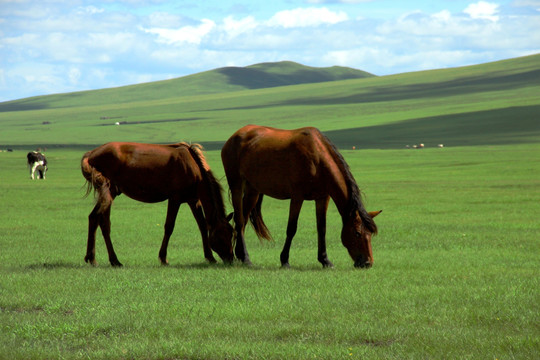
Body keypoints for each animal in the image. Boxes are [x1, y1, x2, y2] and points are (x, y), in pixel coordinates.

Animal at [81, 142, 233, 266]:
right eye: (221, 236)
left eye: (232, 233)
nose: (230, 258)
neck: (192, 166)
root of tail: (91, 153)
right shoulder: (175, 199)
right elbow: (169, 227)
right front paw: (163, 258)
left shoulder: (193, 201)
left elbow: (202, 226)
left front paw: (210, 257)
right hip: (108, 192)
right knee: (98, 219)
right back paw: (99, 259)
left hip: (109, 195)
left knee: (99, 221)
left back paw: (107, 260)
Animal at [221, 125, 382, 268]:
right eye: (357, 233)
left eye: (370, 234)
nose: (368, 263)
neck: (318, 159)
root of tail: (234, 137)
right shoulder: (297, 197)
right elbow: (291, 228)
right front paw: (285, 260)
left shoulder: (323, 198)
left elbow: (321, 228)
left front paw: (325, 260)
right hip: (236, 185)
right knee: (240, 220)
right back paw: (246, 258)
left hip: (252, 190)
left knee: (244, 219)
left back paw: (241, 255)